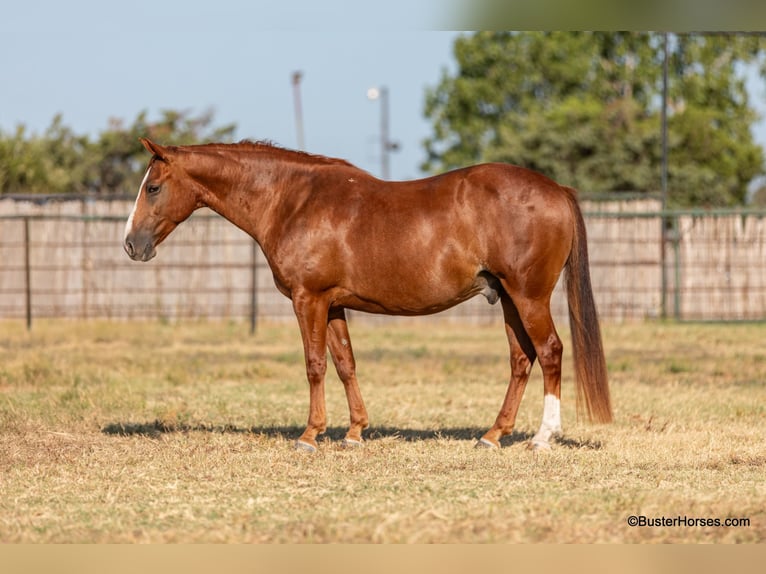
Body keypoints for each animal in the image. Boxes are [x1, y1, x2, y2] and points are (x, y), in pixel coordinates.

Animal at [124, 138, 612, 452]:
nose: (131, 245)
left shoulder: (309, 299)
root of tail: (557, 190)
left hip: (529, 297)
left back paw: (542, 438)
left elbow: (315, 365)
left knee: (549, 352)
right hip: (508, 298)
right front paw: (355, 433)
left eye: (153, 187)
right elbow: (345, 364)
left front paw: (310, 436)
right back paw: (493, 436)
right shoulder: (334, 303)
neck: (292, 200)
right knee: (521, 359)